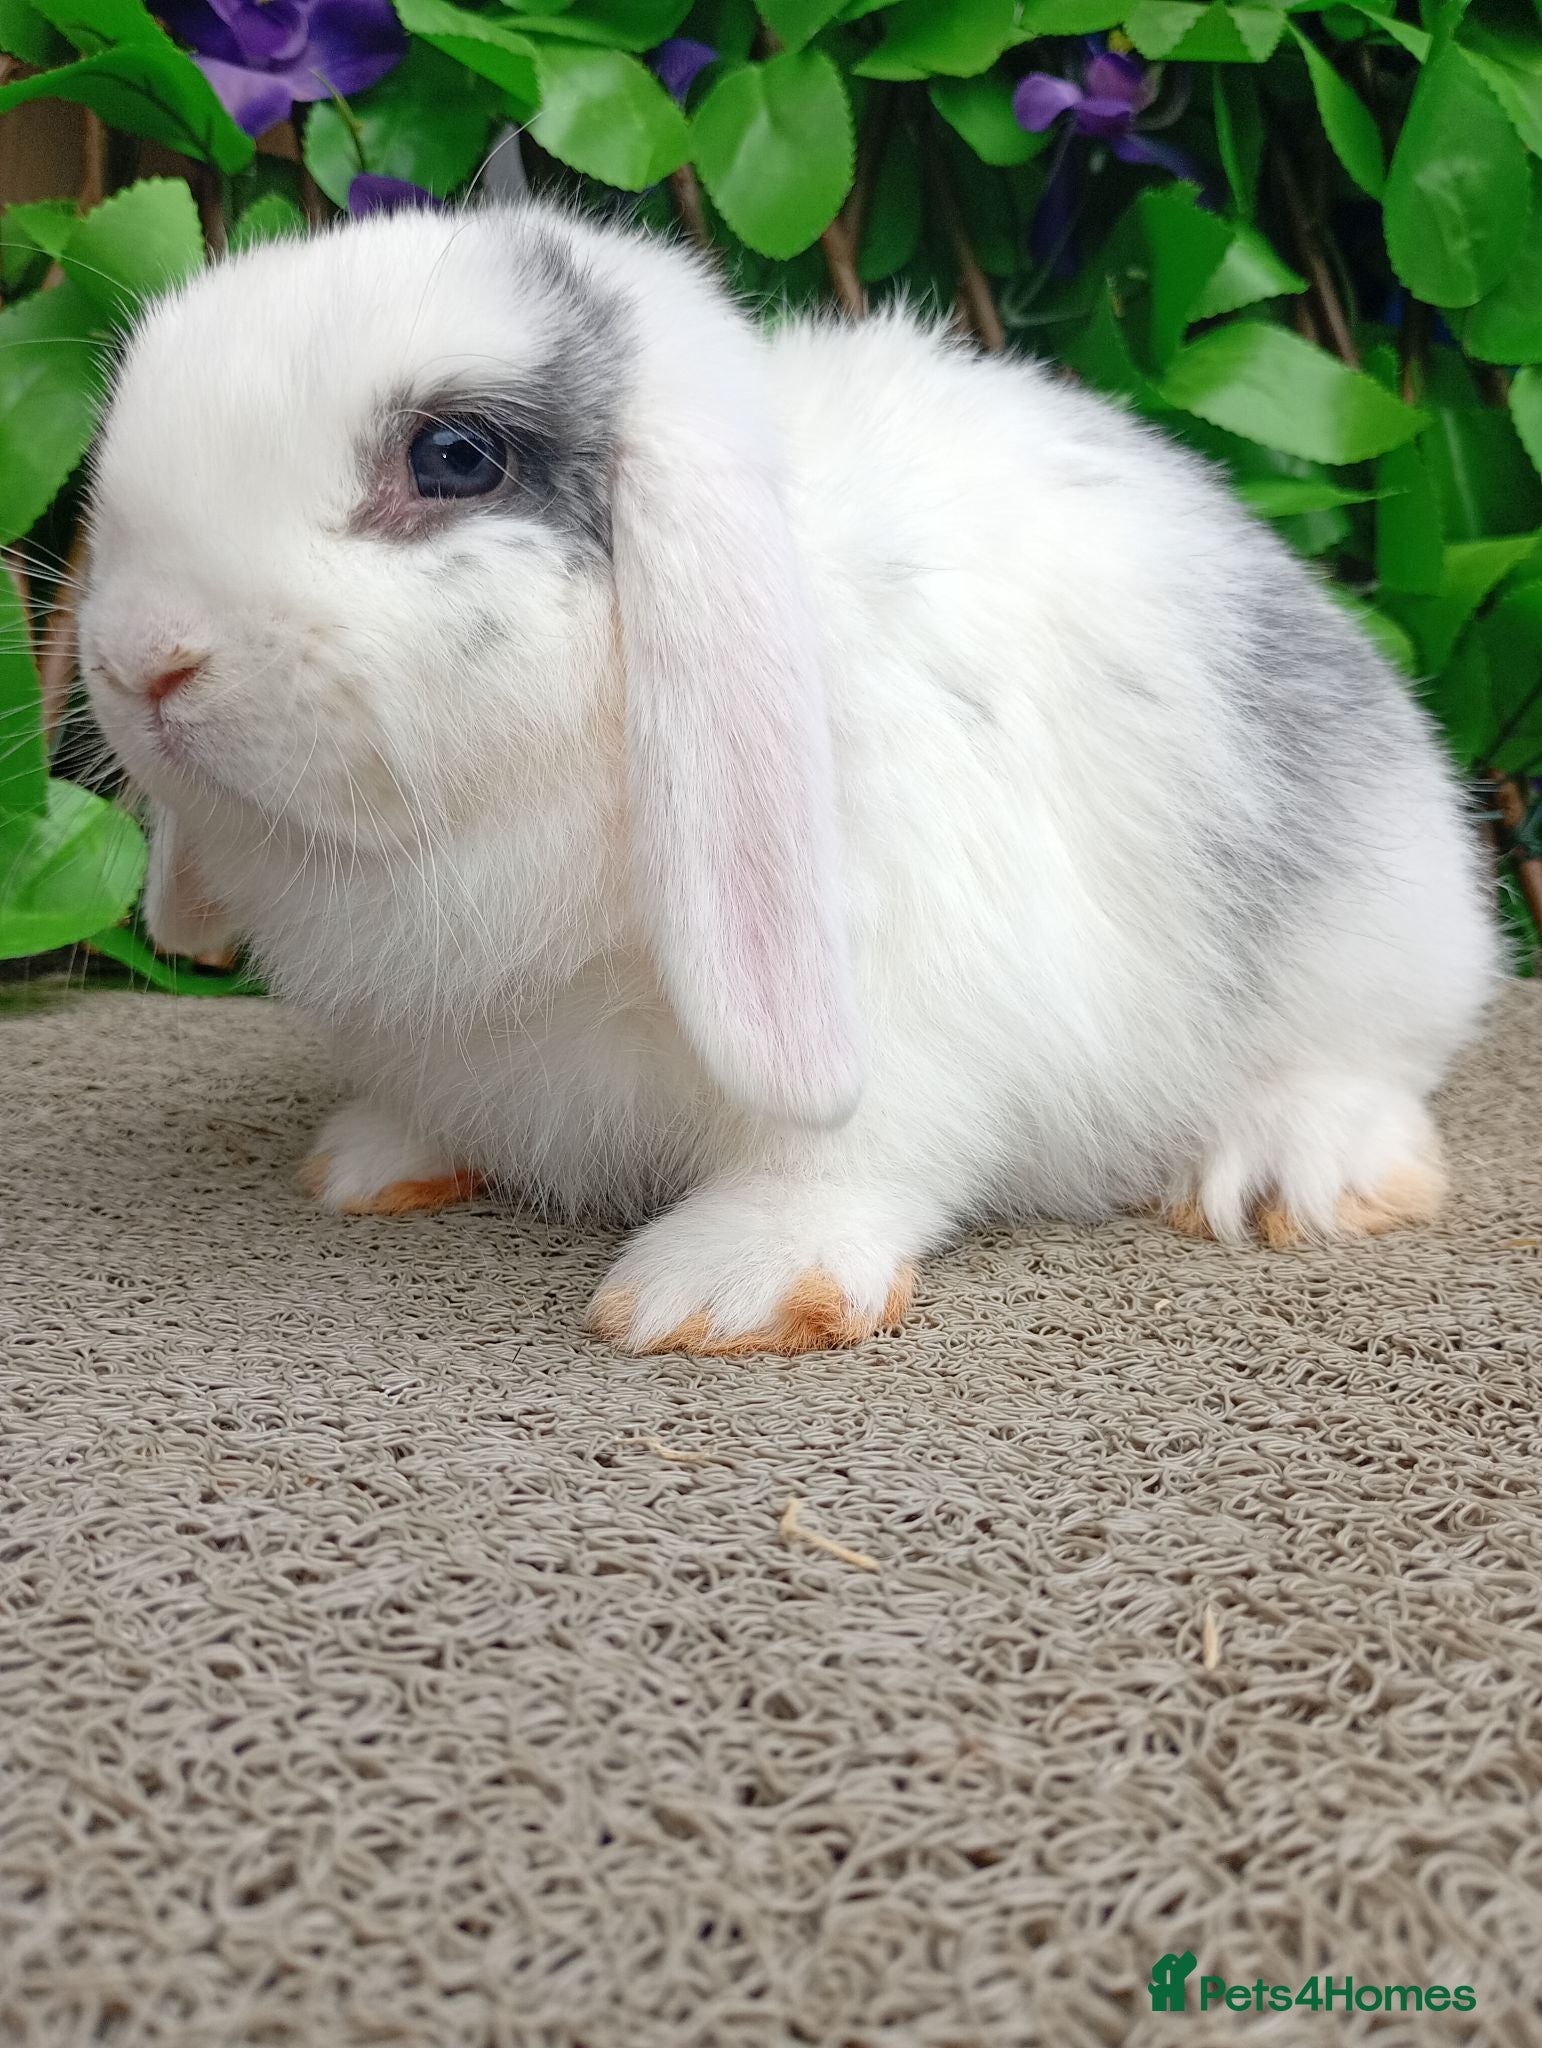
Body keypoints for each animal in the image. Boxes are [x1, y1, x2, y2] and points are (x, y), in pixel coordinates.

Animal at [79, 200, 1500, 1355]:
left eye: (455, 456)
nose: (141, 655)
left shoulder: (905, 1005)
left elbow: (843, 1152)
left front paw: (723, 1294)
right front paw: (376, 1161)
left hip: (1373, 943)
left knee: (1371, 1063)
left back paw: (1286, 1173)